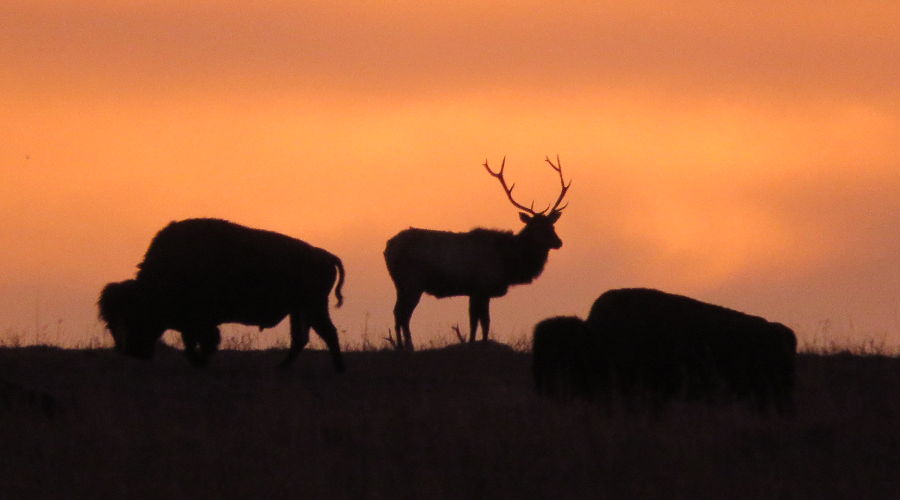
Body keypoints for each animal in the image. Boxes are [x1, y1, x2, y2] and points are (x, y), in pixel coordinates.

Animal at [97, 219, 344, 372]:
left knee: (328, 333)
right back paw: (281, 369)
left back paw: (338, 369)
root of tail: (325, 255)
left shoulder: (201, 322)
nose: (133, 352)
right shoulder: (191, 324)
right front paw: (198, 361)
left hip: (313, 307)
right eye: (111, 323)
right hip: (300, 310)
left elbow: (206, 341)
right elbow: (191, 343)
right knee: (301, 339)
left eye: (133, 316)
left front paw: (201, 361)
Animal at [382, 154, 568, 350]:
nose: (559, 242)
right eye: (536, 227)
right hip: (412, 281)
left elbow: (479, 322)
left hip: (400, 284)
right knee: (403, 313)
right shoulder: (481, 287)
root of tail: (388, 248)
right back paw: (407, 346)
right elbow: (481, 321)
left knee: (398, 312)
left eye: (552, 225)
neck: (508, 264)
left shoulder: (476, 291)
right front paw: (478, 343)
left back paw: (402, 346)